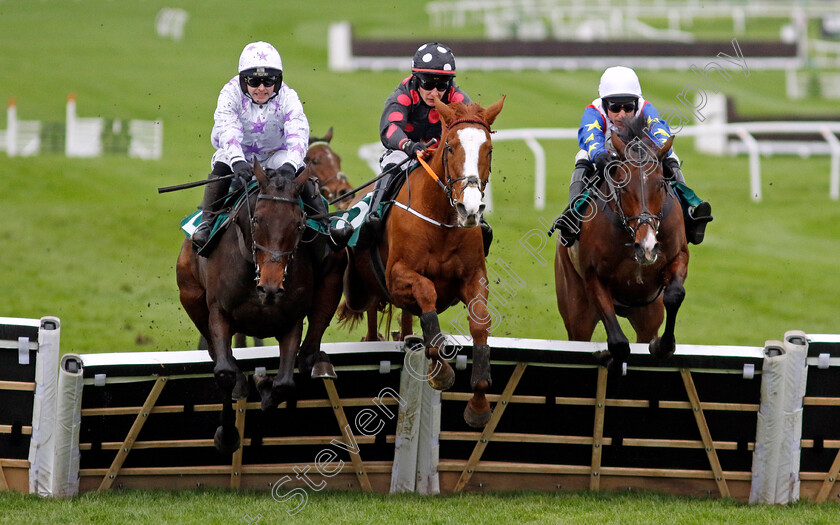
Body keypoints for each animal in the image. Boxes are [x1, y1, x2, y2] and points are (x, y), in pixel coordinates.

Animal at [176, 163, 346, 450]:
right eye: (256, 220)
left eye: (299, 224)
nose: (270, 287)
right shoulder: (219, 313)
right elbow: (224, 371)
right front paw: (226, 434)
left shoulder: (291, 320)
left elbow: (284, 383)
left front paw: (264, 386)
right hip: (190, 294)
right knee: (214, 351)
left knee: (308, 353)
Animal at [336, 96, 506, 428]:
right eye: (450, 146)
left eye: (489, 149)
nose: (469, 208)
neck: (440, 221)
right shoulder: (397, 277)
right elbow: (427, 294)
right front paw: (441, 371)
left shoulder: (474, 277)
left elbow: (480, 321)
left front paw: (479, 404)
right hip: (364, 293)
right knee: (373, 323)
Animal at [556, 115, 684, 368]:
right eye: (623, 185)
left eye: (661, 183)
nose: (647, 246)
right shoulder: (593, 277)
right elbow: (618, 343)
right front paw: (607, 356)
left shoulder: (678, 256)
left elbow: (675, 294)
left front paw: (663, 346)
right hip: (576, 309)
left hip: (647, 314)